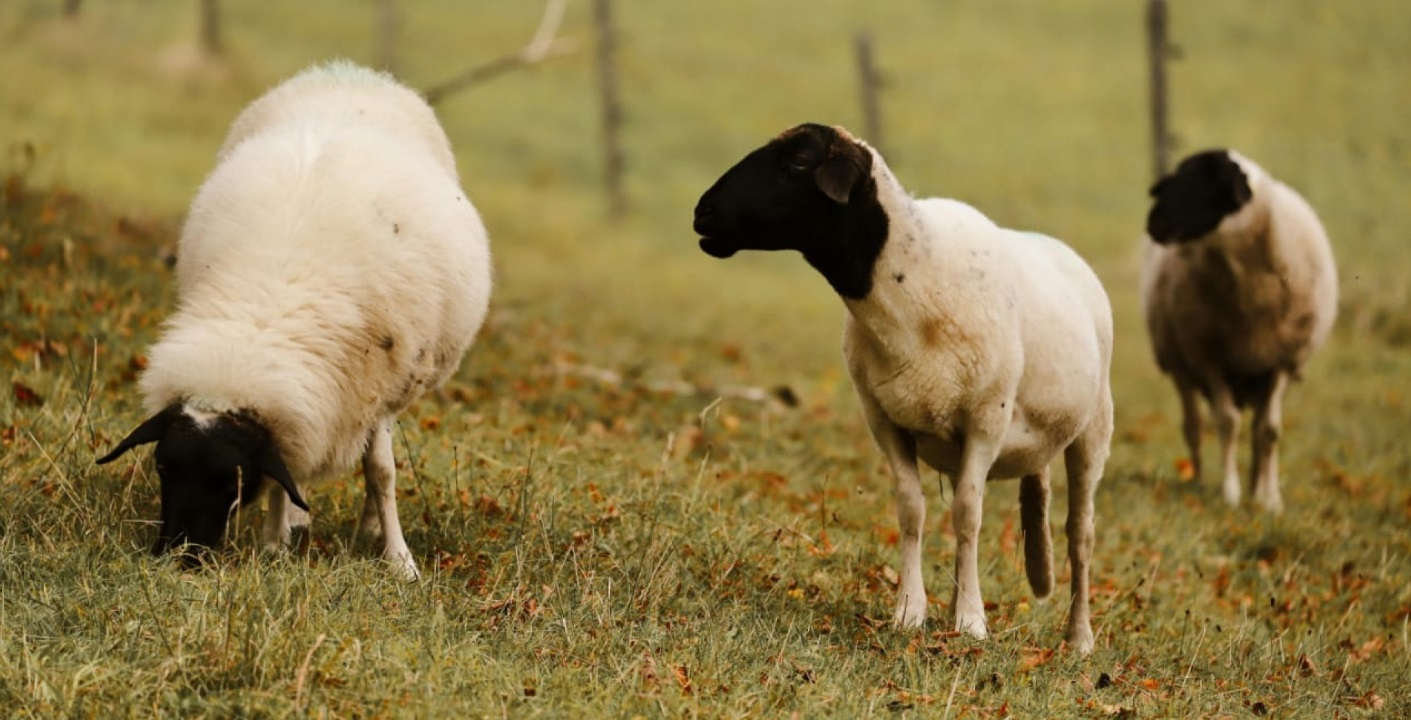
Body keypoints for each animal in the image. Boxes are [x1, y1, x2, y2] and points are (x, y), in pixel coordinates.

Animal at [96, 60, 492, 579]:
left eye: (230, 480)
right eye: (164, 467)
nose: (178, 556)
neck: (263, 320)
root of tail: (350, 73)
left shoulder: (377, 385)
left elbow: (381, 472)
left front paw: (399, 559)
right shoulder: (296, 402)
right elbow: (286, 471)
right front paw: (275, 540)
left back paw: (368, 526)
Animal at [692, 123, 1113, 653]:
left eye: (799, 162)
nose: (702, 212)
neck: (910, 279)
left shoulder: (987, 417)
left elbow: (968, 515)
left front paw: (971, 621)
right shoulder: (884, 418)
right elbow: (912, 509)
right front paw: (911, 612)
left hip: (1093, 430)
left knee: (1081, 533)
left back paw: (1079, 637)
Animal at [1143, 148, 1337, 513]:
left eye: (1198, 180)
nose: (1152, 221)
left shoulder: (1283, 359)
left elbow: (1270, 430)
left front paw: (1269, 500)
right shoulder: (1209, 356)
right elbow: (1227, 421)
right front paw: (1229, 493)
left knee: (1260, 426)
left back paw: (1258, 484)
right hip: (1180, 364)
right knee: (1193, 426)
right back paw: (1199, 480)